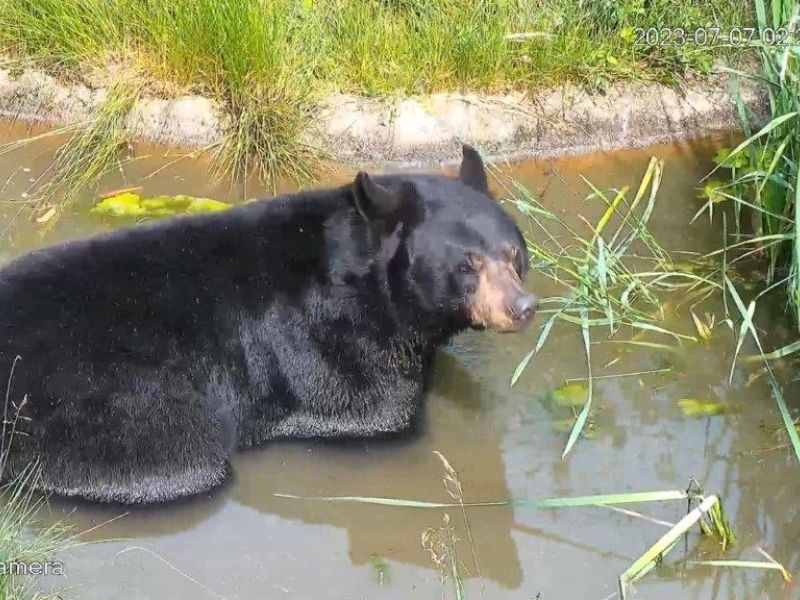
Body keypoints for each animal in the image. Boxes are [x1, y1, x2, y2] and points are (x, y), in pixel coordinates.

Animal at [0, 145, 537, 504]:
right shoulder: (324, 341)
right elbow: (371, 411)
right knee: (179, 460)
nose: (523, 306)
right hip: (85, 402)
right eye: (466, 265)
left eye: (514, 253)